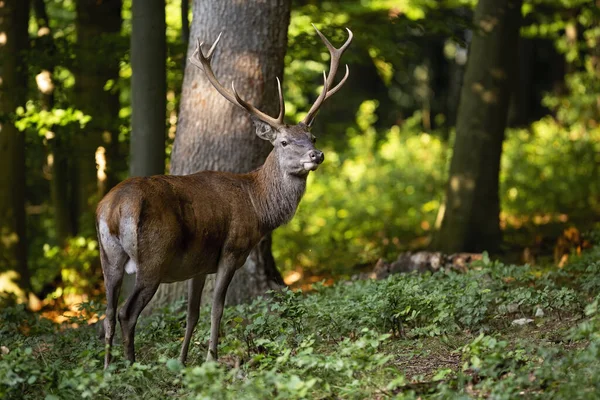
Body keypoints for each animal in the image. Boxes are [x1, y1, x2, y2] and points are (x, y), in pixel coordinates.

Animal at [96, 25, 354, 368]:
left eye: (311, 136)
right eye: (284, 142)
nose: (317, 154)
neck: (257, 205)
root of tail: (112, 209)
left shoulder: (197, 264)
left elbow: (192, 314)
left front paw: (182, 361)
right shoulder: (232, 249)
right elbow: (217, 308)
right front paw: (211, 358)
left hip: (108, 257)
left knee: (108, 314)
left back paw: (108, 369)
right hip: (153, 257)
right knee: (127, 313)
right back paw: (132, 366)